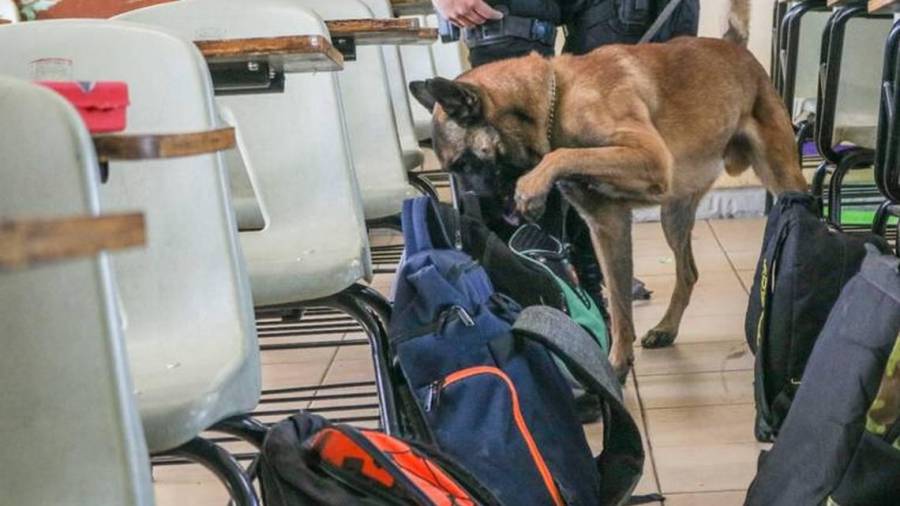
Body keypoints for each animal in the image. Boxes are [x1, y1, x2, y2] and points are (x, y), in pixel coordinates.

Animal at [408, 0, 800, 380]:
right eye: (453, 168)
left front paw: (532, 184)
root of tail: (733, 46)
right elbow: (619, 299)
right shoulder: (607, 225)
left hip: (782, 177)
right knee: (688, 271)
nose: (469, 212)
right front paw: (616, 364)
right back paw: (666, 328)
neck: (556, 100)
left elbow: (563, 154)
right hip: (673, 215)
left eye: (463, 163)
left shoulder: (649, 156)